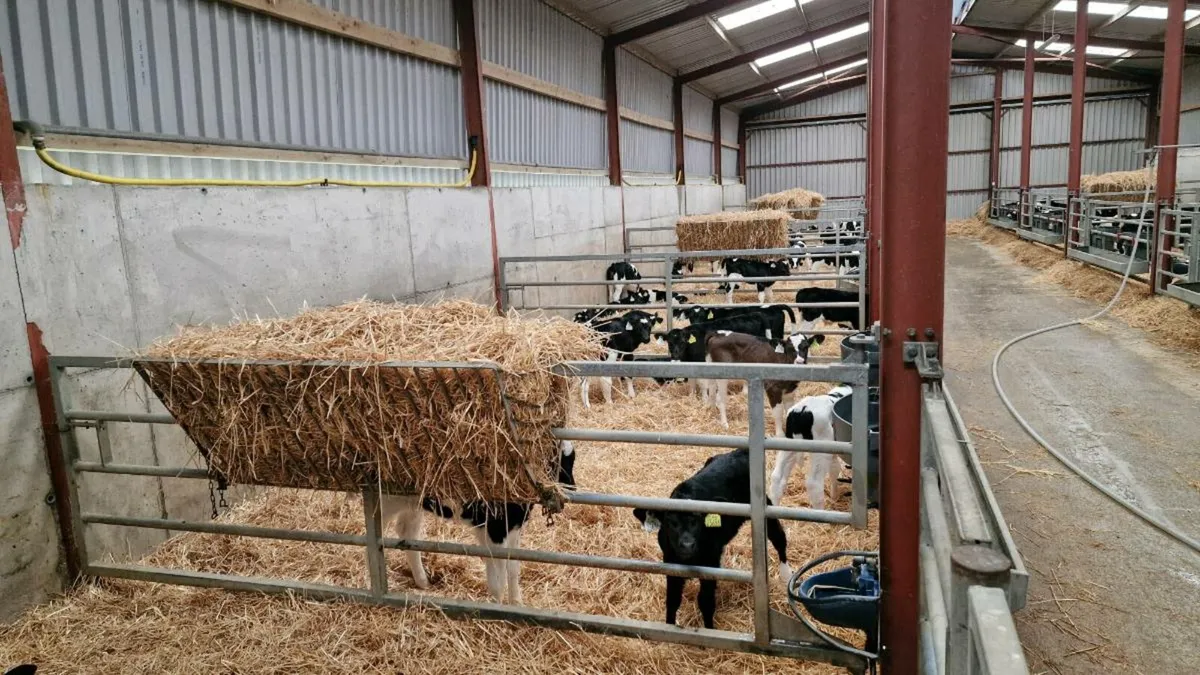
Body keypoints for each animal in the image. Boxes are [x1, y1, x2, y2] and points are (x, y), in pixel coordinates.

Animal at [379, 439, 576, 604]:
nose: (573, 487)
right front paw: (498, 608)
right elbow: (498, 581)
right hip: (386, 502)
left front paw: (516, 603)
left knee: (407, 532)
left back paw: (422, 581)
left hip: (412, 504)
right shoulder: (494, 530)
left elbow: (513, 569)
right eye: (557, 460)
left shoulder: (512, 527)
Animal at [634, 448, 791, 629]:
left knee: (779, 538)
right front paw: (669, 627)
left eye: (697, 521)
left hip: (766, 509)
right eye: (670, 522)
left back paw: (786, 574)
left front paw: (709, 629)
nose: (687, 544)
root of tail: (740, 451)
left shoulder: (711, 563)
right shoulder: (670, 563)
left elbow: (706, 602)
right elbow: (672, 600)